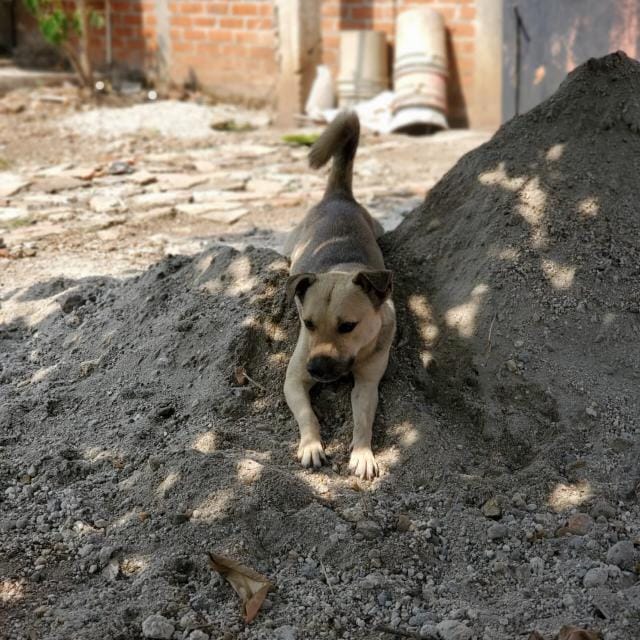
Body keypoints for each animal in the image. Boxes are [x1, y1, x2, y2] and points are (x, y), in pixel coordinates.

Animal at [284, 111, 396, 480]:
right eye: (307, 323)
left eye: (347, 326)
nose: (317, 368)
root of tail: (339, 197)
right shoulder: (294, 379)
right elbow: (308, 414)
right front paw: (311, 445)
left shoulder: (367, 384)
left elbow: (362, 421)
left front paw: (362, 453)